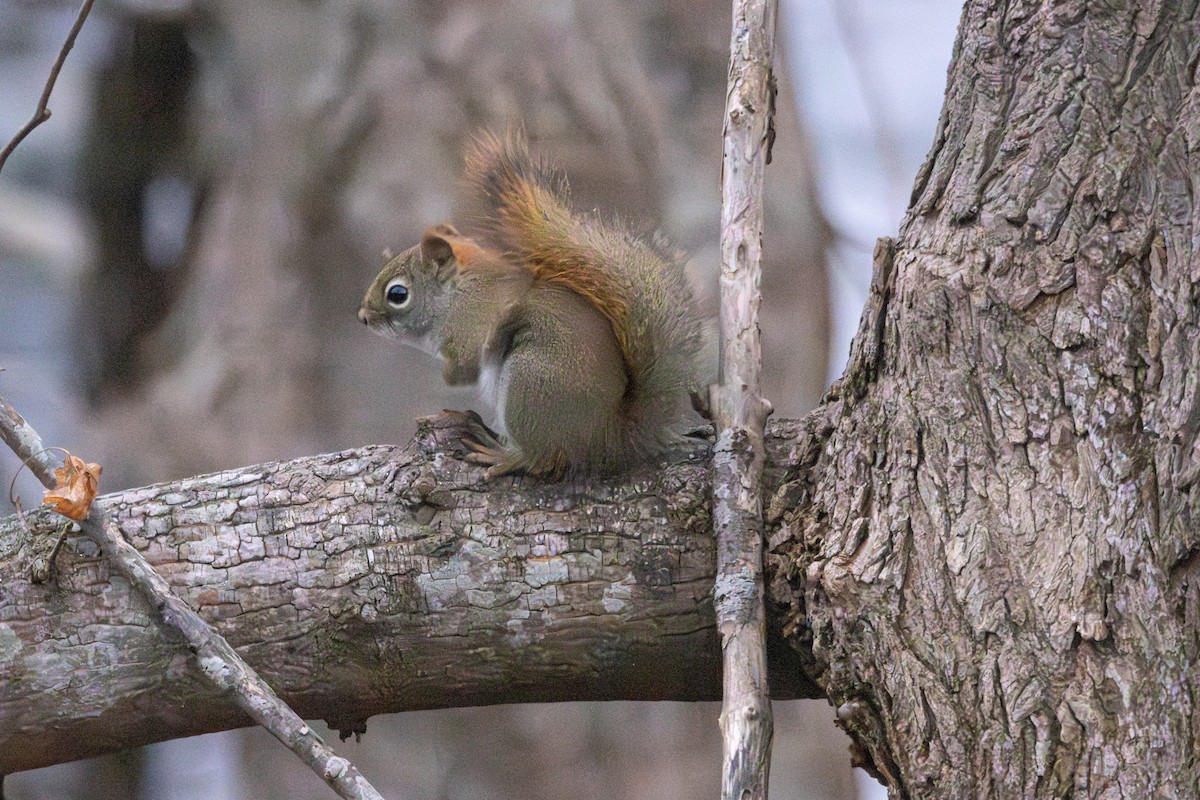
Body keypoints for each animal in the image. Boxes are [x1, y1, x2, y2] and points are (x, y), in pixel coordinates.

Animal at [358, 132, 705, 478]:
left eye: (397, 294)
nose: (363, 317)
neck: (458, 291)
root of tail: (608, 437)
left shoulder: (470, 323)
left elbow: (466, 367)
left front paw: (447, 376)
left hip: (529, 382)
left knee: (542, 459)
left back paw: (499, 454)